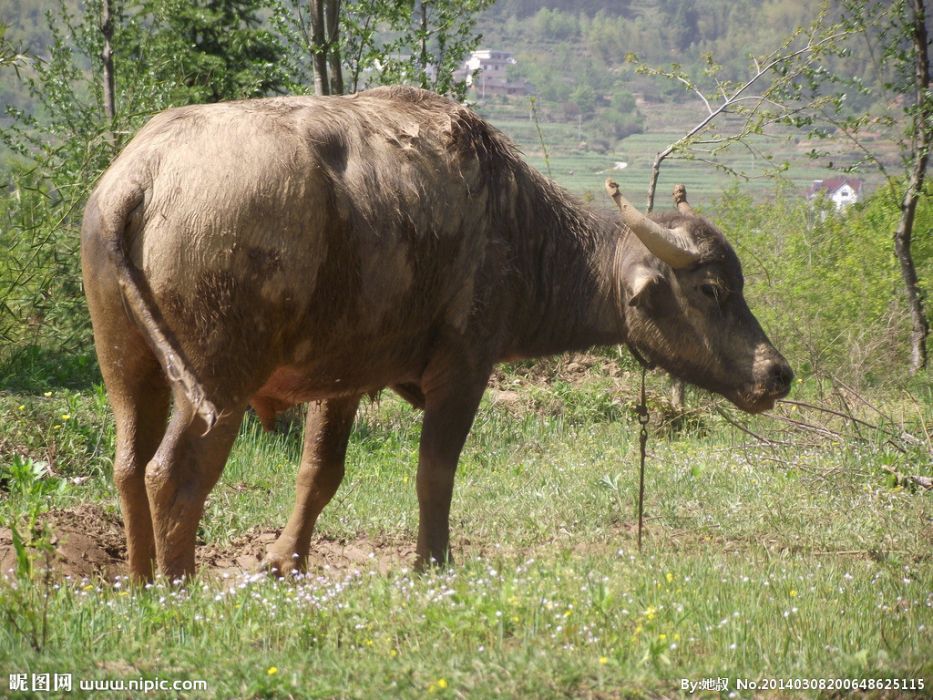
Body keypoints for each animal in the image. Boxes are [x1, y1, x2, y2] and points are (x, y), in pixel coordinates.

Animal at [82, 86, 792, 580]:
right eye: (712, 290)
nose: (777, 373)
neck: (519, 229)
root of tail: (143, 174)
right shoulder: (464, 367)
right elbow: (436, 471)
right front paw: (433, 561)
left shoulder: (342, 378)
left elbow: (320, 471)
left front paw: (286, 561)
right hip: (217, 383)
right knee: (173, 474)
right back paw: (180, 586)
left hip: (129, 368)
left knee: (127, 465)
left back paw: (141, 581)